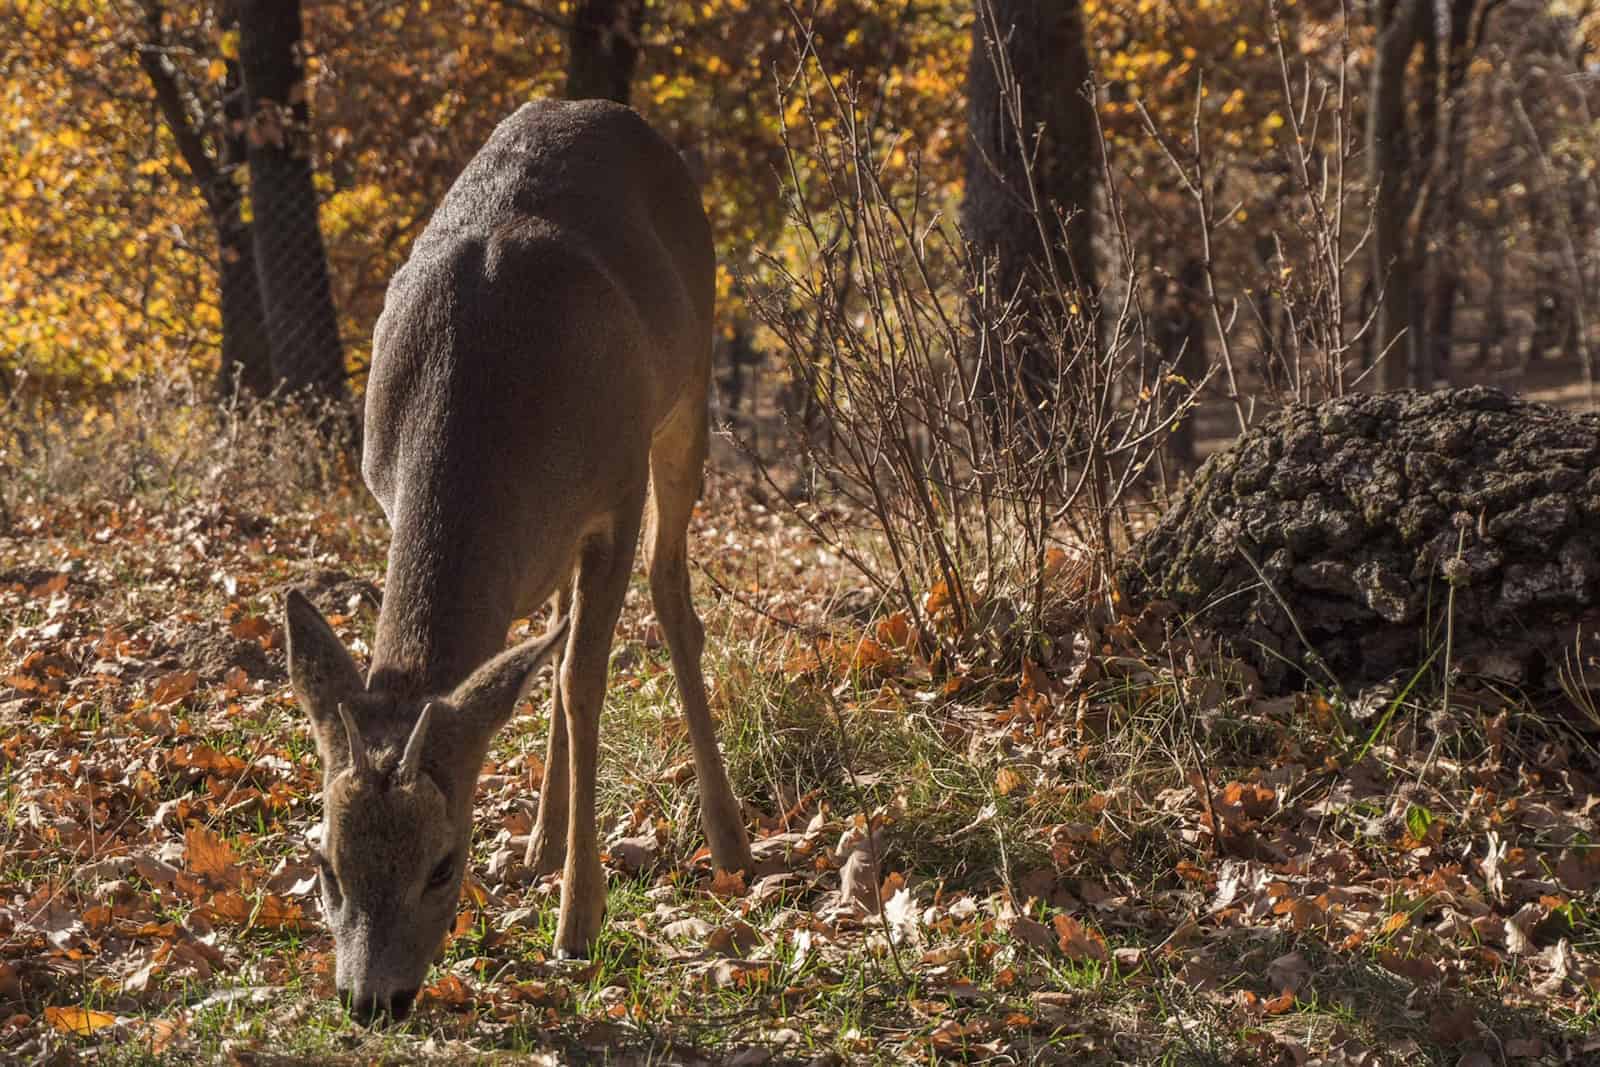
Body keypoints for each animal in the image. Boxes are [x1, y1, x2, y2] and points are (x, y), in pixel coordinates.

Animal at [282, 99, 754, 1025]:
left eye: (444, 864)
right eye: (325, 865)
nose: (371, 999)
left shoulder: (615, 489)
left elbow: (580, 681)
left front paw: (580, 918)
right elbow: (542, 671)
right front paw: (556, 863)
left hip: (688, 392)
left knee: (671, 593)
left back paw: (728, 837)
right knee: (559, 625)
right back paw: (540, 838)